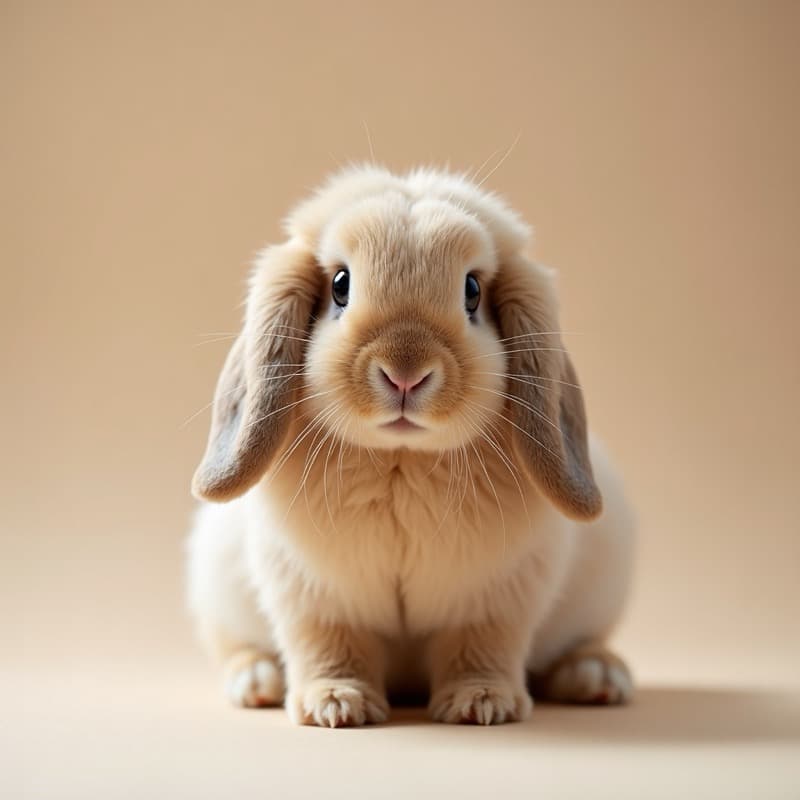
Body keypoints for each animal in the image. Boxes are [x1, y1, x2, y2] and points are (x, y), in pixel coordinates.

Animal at [186, 165, 635, 727]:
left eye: (472, 290)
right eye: (340, 285)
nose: (405, 372)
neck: (399, 461)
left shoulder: (494, 596)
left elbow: (481, 645)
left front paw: (481, 704)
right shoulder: (317, 594)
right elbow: (329, 643)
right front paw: (334, 705)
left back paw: (597, 677)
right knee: (235, 646)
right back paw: (255, 682)